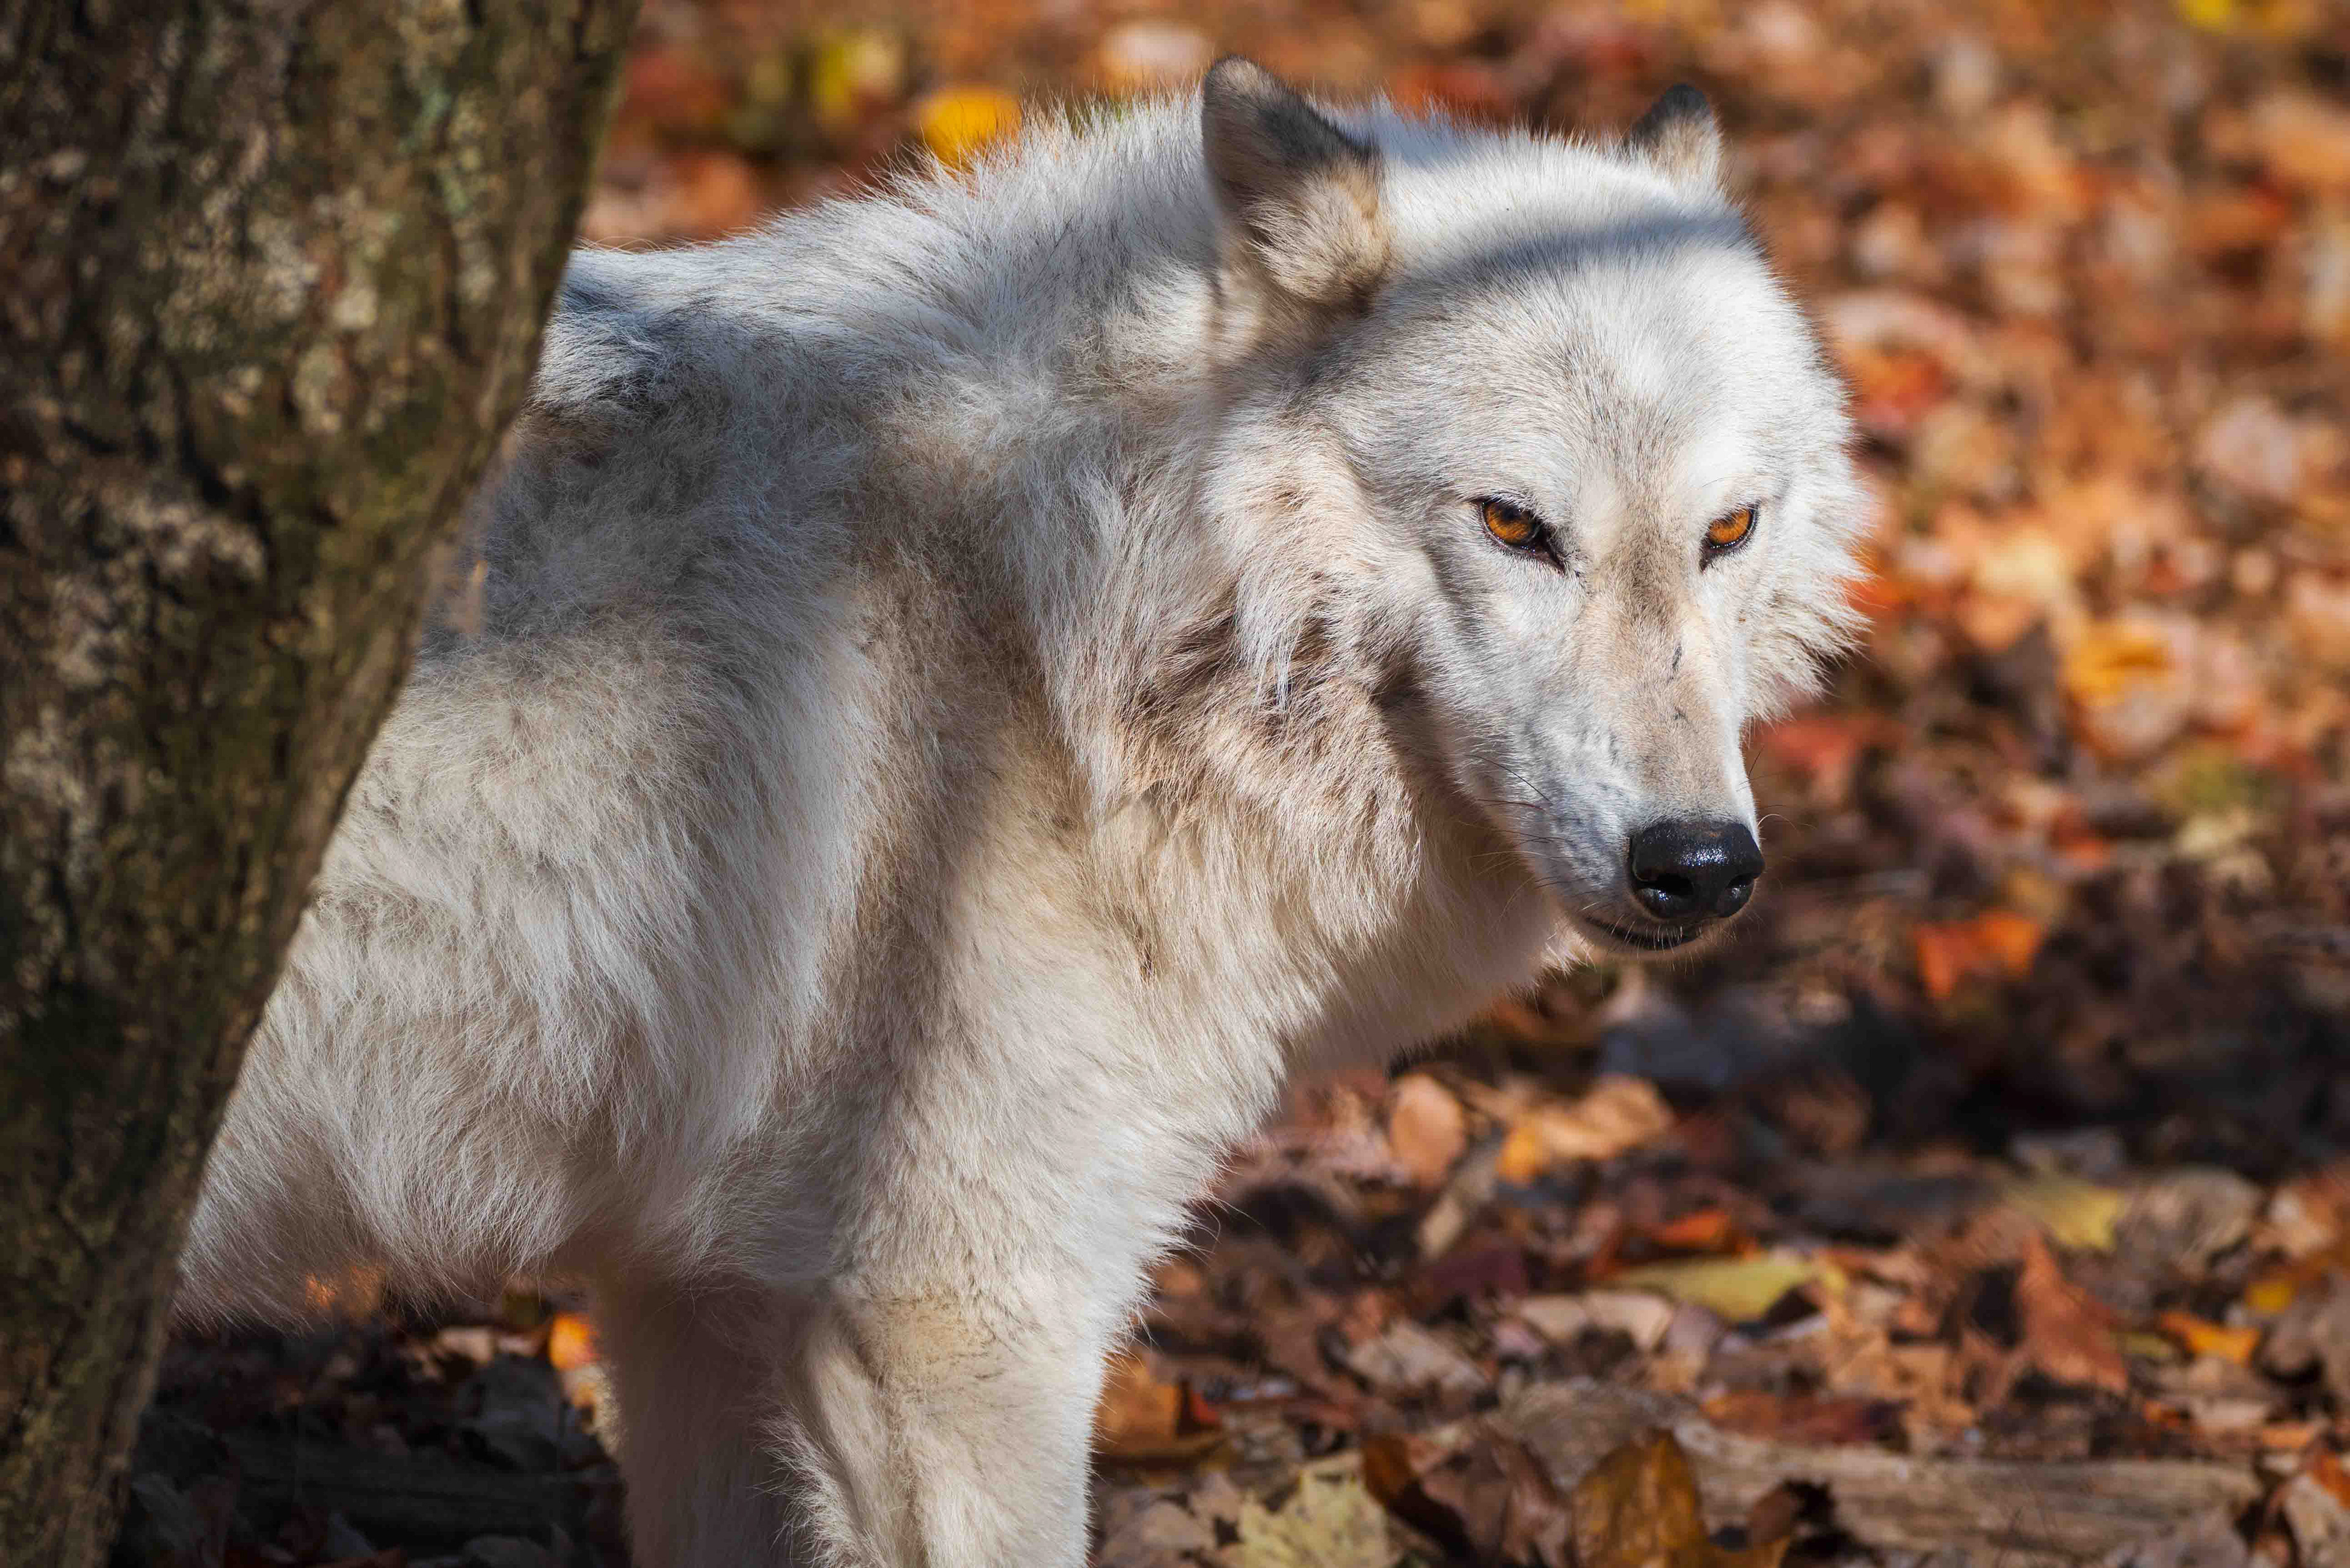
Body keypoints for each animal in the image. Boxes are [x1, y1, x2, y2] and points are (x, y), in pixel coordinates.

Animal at [180, 59, 1865, 1567]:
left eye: (1726, 532)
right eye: (1515, 527)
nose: (1697, 865)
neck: (1064, 622)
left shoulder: (695, 1299)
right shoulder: (956, 1320)